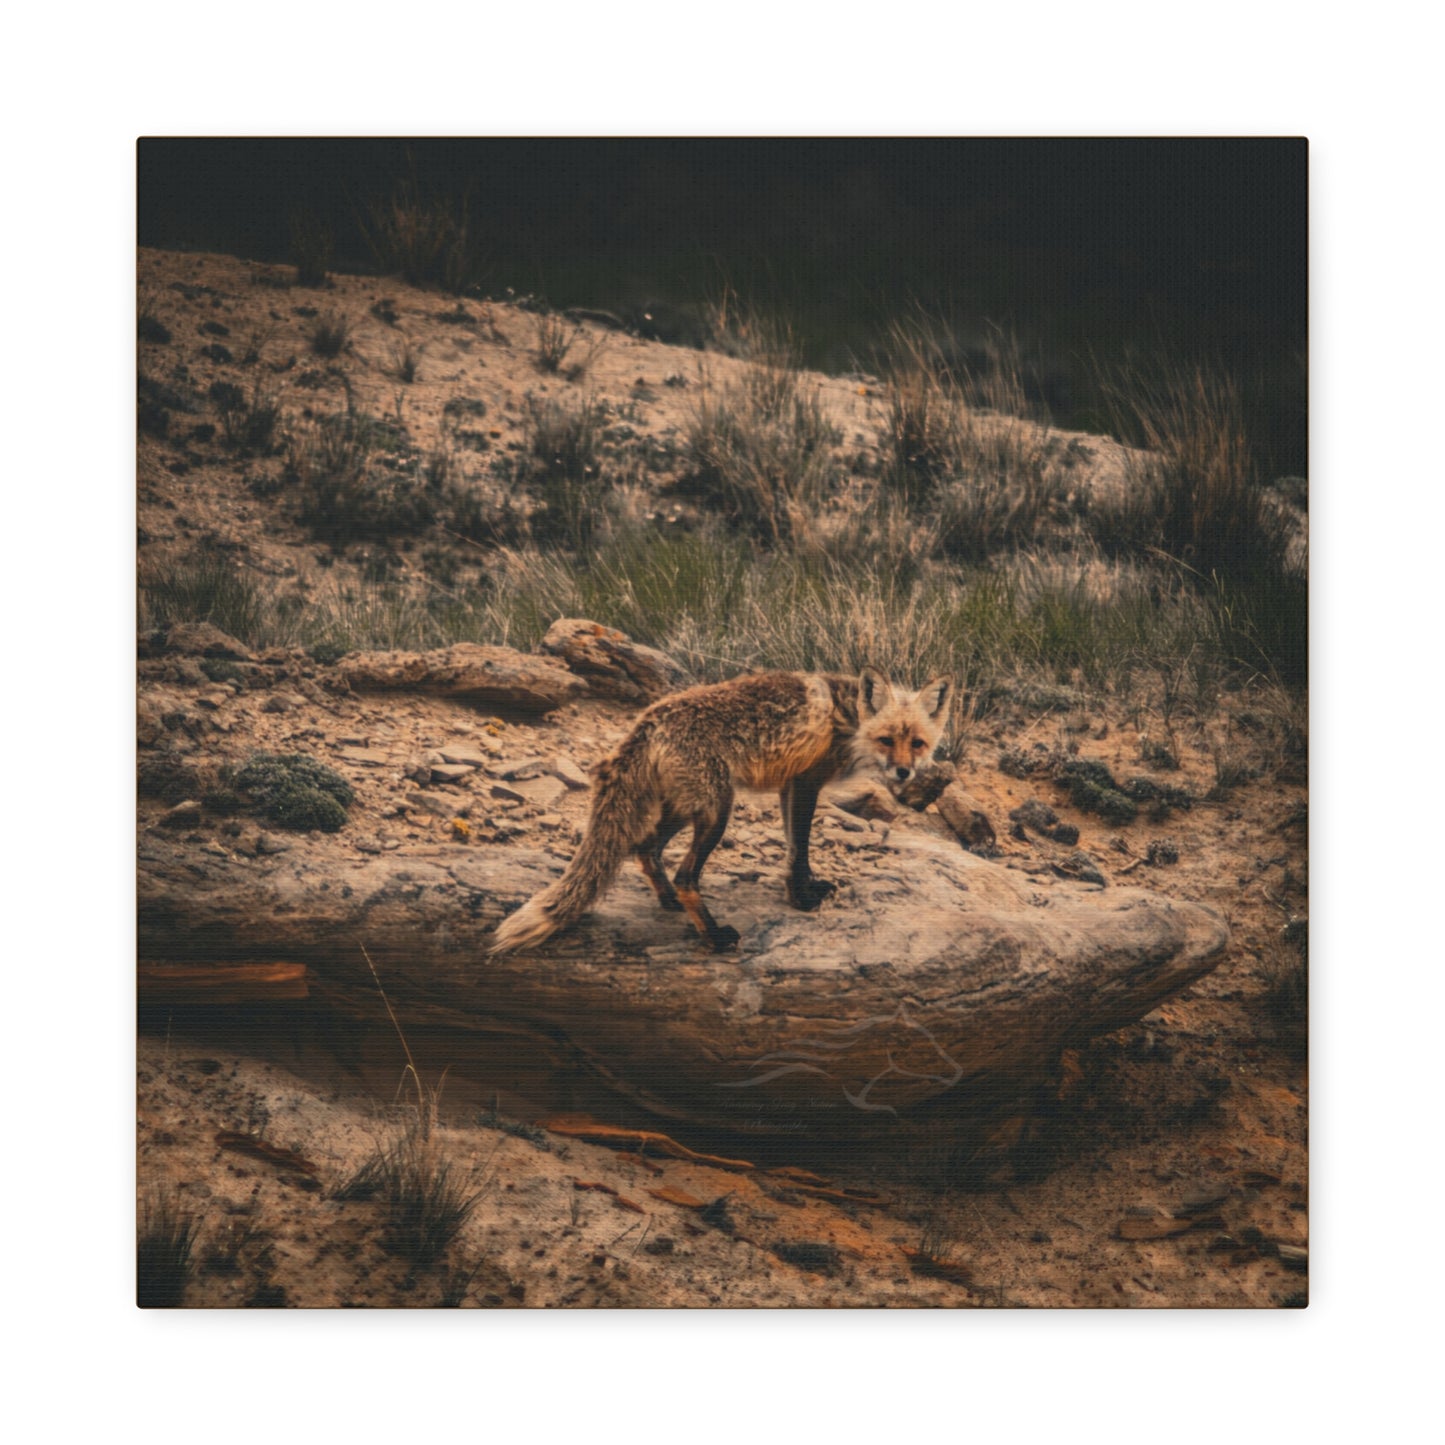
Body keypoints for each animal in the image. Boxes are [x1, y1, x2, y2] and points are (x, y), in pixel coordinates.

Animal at [489, 666, 953, 954]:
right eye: (887, 739)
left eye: (917, 743)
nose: (904, 772)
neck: (849, 721)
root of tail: (648, 721)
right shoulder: (806, 782)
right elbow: (800, 849)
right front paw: (802, 900)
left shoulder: (789, 785)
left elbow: (792, 851)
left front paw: (801, 890)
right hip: (717, 812)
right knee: (685, 875)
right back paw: (712, 937)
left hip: (686, 808)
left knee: (644, 848)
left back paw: (668, 901)